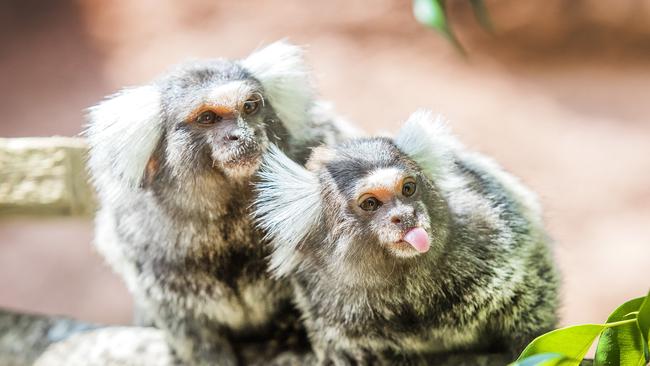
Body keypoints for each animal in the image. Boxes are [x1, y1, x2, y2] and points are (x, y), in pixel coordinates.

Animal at [85, 40, 354, 366]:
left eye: (250, 107)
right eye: (207, 118)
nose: (242, 134)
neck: (230, 219)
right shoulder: (138, 240)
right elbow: (191, 329)